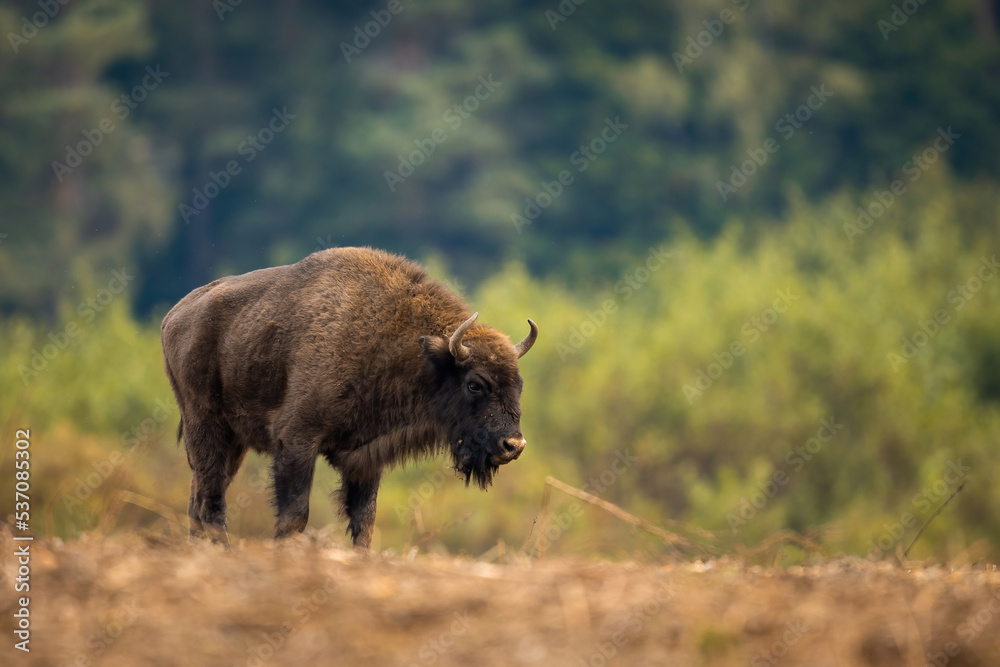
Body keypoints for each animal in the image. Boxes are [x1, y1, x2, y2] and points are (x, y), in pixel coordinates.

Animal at [161, 247, 537, 548]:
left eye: (519, 383)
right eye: (475, 384)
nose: (514, 445)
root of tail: (174, 316)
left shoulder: (367, 456)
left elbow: (364, 521)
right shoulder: (296, 441)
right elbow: (295, 515)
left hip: (233, 442)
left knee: (200, 497)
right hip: (205, 427)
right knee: (211, 500)